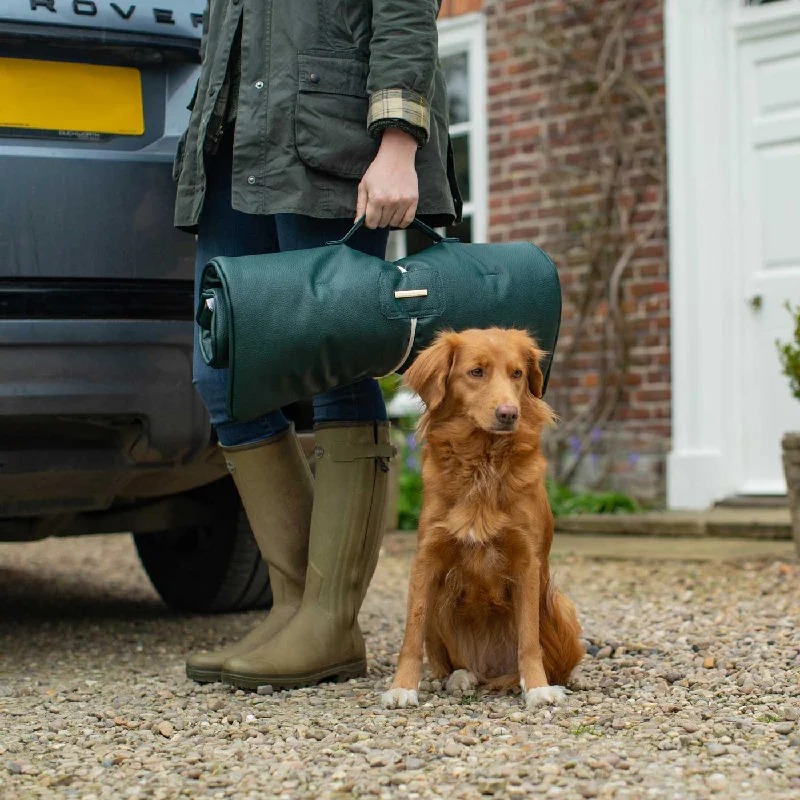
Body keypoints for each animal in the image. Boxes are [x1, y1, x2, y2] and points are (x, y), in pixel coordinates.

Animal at [382, 328, 580, 708]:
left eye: (517, 374)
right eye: (476, 372)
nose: (509, 413)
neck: (482, 461)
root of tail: (489, 671)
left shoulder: (527, 562)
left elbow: (529, 640)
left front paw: (537, 689)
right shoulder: (426, 559)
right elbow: (412, 635)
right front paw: (402, 687)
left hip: (559, 605)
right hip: (438, 601)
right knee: (453, 662)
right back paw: (458, 678)